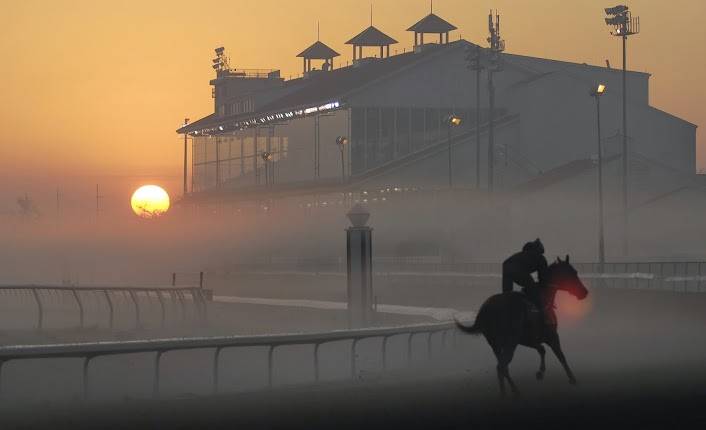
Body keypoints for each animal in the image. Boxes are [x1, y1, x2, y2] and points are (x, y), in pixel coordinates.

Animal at [454, 254, 584, 398]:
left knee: (503, 367)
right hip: (509, 343)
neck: (544, 297)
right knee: (501, 366)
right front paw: (572, 378)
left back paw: (514, 390)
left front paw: (540, 373)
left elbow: (542, 349)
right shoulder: (552, 336)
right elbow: (560, 356)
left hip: (496, 345)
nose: (584, 292)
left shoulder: (528, 339)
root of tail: (486, 308)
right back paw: (505, 394)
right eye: (573, 273)